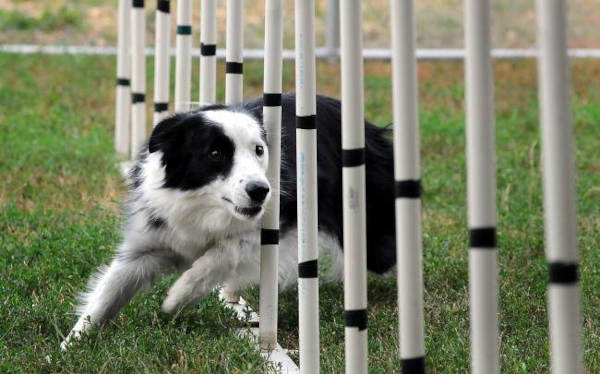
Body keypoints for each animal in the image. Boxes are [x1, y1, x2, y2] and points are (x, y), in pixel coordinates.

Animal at [62, 92, 398, 350]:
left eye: (259, 150)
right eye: (214, 153)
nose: (260, 190)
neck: (202, 205)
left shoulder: (277, 220)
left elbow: (223, 252)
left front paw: (178, 297)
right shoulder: (149, 241)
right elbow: (107, 293)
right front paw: (70, 346)